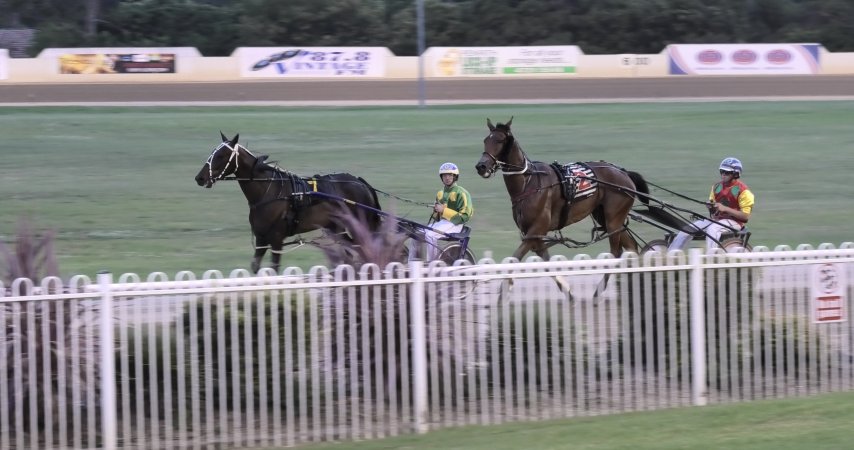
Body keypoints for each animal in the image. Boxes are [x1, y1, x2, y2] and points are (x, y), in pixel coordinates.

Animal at [196, 132, 382, 272]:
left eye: (221, 155)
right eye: (213, 152)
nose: (200, 178)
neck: (268, 192)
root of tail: (359, 182)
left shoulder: (277, 239)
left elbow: (274, 268)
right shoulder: (261, 239)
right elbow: (255, 266)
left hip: (358, 225)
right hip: (336, 228)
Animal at [474, 117, 648, 264]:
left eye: (500, 140)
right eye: (485, 140)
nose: (481, 166)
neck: (528, 183)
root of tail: (624, 173)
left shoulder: (536, 230)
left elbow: (515, 258)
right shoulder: (536, 237)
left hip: (613, 220)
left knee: (616, 252)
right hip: (605, 217)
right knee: (631, 246)